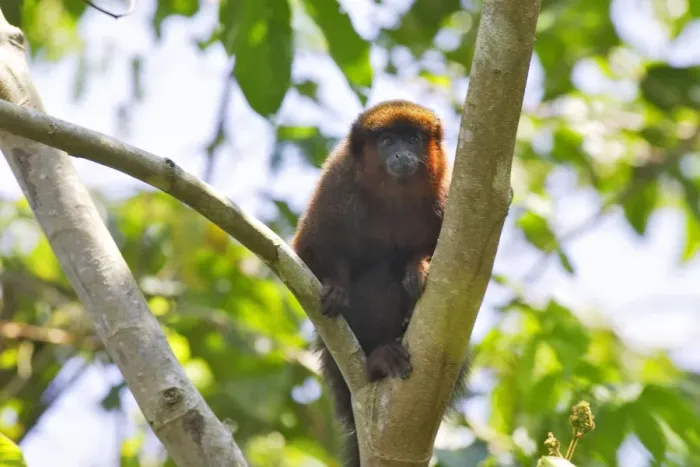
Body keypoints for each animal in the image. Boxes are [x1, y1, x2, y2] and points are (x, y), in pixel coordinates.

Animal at [291, 100, 468, 466]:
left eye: (413, 139)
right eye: (387, 141)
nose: (402, 154)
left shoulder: (446, 194)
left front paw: (418, 268)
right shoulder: (336, 185)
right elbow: (311, 250)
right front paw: (336, 285)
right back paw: (379, 360)